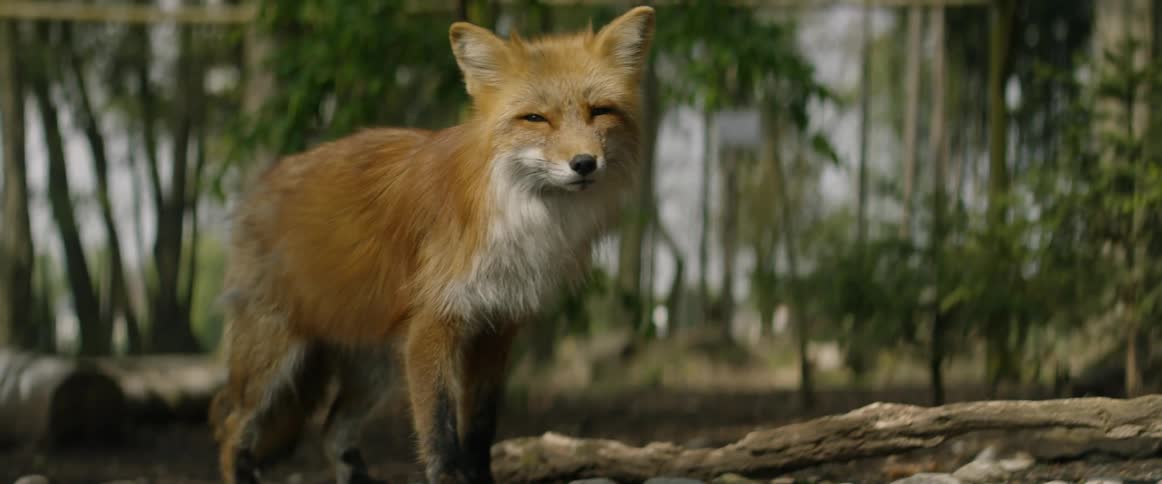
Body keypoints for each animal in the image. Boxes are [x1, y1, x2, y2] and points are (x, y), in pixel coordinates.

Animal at [211, 6, 655, 484]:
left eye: (600, 111)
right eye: (536, 119)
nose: (585, 164)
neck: (521, 218)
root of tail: (262, 183)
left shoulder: (498, 325)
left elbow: (479, 428)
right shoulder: (434, 324)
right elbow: (440, 436)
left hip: (377, 366)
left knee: (332, 430)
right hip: (274, 354)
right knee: (230, 423)